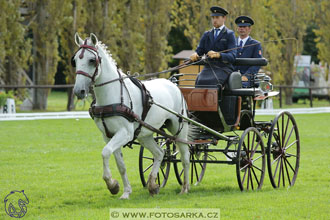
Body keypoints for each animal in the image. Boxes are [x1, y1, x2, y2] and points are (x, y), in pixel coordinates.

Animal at [72, 33, 191, 199]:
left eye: (92, 60)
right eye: (75, 60)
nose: (79, 91)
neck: (112, 95)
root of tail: (173, 84)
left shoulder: (125, 133)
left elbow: (105, 152)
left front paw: (112, 184)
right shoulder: (108, 135)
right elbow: (120, 164)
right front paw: (124, 190)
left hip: (179, 129)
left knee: (185, 156)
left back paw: (185, 188)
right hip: (145, 134)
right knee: (159, 153)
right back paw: (153, 185)